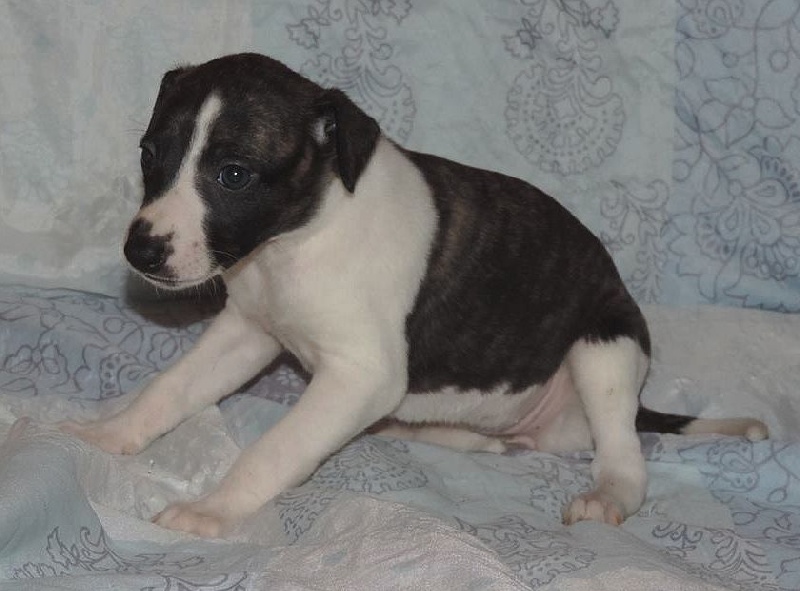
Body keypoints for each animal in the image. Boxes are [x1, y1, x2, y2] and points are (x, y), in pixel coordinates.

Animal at [60, 53, 768, 537]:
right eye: (150, 155)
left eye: (233, 175)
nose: (141, 252)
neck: (301, 239)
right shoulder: (248, 333)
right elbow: (169, 389)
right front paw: (109, 434)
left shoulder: (361, 375)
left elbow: (276, 447)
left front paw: (212, 509)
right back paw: (459, 435)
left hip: (605, 347)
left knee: (625, 453)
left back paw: (608, 494)